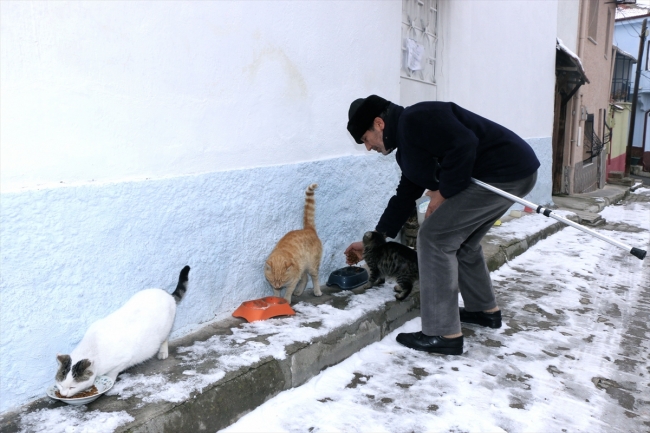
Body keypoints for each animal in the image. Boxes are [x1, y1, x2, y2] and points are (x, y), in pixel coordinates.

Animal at [54, 264, 189, 394]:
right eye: (60, 385)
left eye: (72, 387)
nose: (63, 394)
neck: (92, 348)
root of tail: (166, 293)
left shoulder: (123, 360)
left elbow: (112, 373)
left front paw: (109, 383)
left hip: (165, 328)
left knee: (165, 338)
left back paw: (162, 352)